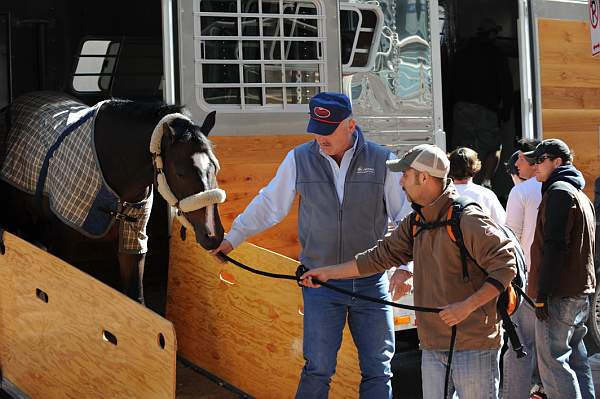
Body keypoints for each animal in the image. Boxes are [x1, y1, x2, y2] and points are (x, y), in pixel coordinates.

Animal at [0, 91, 225, 304]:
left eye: (214, 166)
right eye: (180, 172)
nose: (213, 234)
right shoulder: (66, 242)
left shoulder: (133, 241)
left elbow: (136, 297)